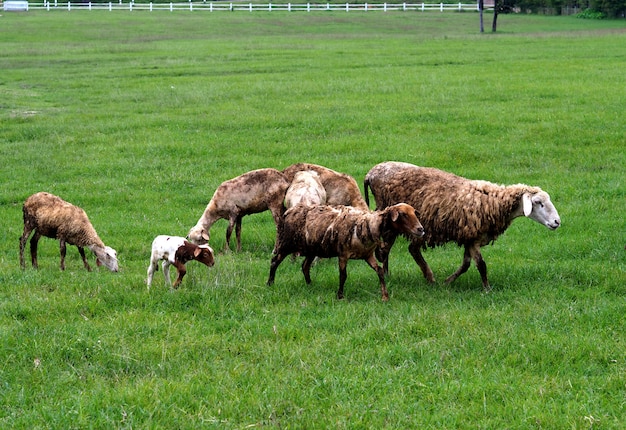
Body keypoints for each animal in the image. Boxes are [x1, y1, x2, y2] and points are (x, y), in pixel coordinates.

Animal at [266, 203, 422, 300]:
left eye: (414, 213)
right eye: (403, 214)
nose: (421, 229)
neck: (368, 224)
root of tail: (289, 211)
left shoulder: (368, 255)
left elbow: (380, 271)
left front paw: (385, 296)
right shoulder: (343, 255)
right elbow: (343, 275)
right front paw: (340, 296)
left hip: (312, 248)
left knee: (305, 266)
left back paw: (310, 285)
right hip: (286, 244)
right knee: (274, 261)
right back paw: (270, 283)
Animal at [364, 162, 560, 292]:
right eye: (538, 202)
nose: (557, 222)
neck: (493, 202)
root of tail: (371, 173)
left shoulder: (471, 238)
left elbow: (466, 264)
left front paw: (448, 281)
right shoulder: (472, 238)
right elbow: (481, 264)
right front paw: (487, 289)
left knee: (398, 248)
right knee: (397, 248)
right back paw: (424, 277)